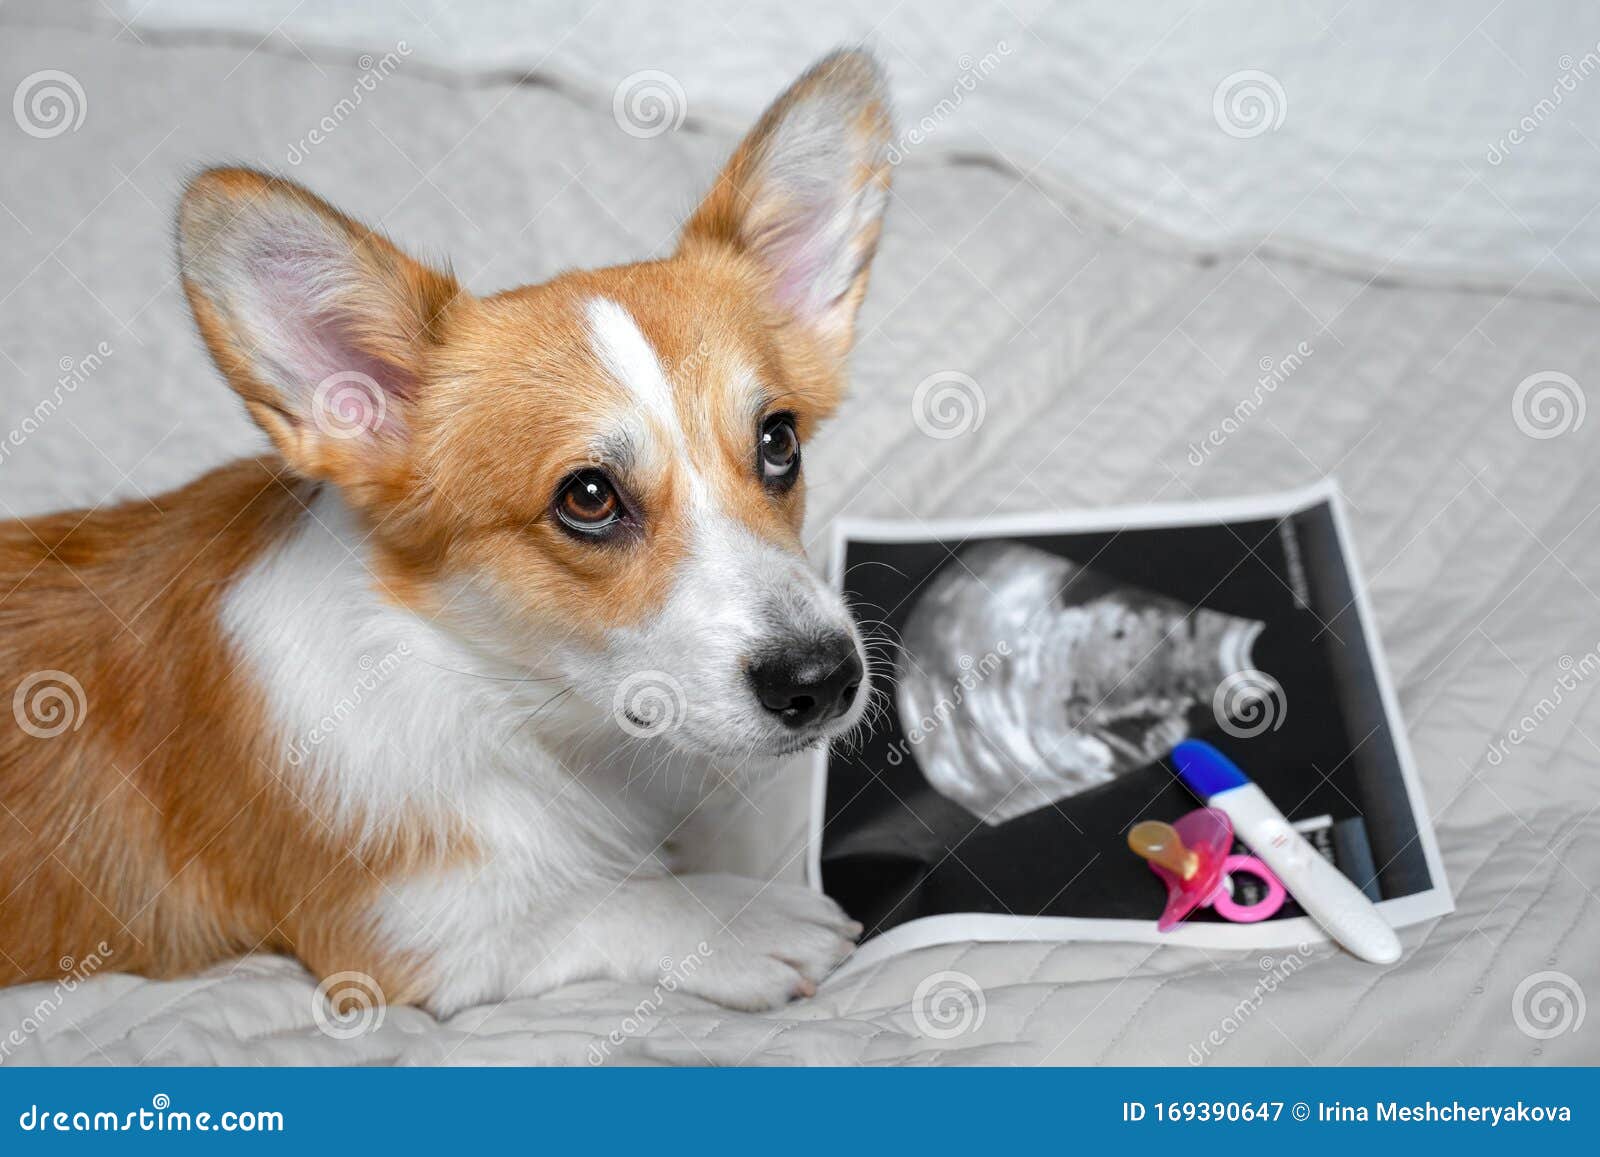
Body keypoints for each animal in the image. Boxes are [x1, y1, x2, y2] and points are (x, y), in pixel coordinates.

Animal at [0, 49, 896, 1017]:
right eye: (588, 497)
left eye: (780, 442)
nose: (825, 679)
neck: (496, 694)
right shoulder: (414, 939)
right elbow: (596, 903)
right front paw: (734, 916)